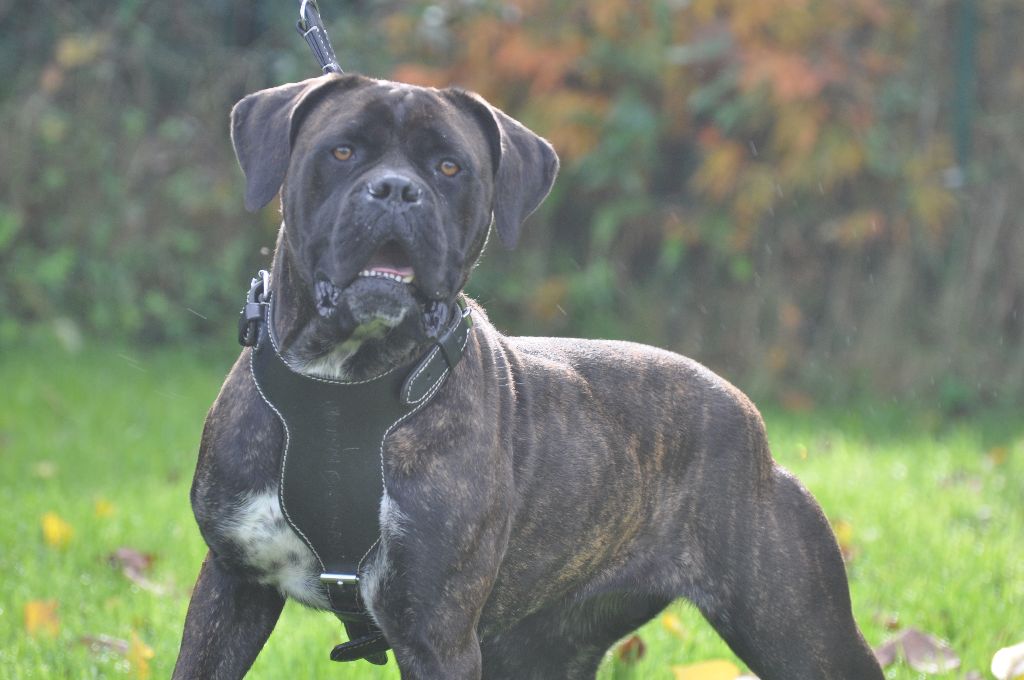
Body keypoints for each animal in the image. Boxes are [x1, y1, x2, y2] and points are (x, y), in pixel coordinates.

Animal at [172, 74, 884, 680]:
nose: (397, 190)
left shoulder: (435, 631)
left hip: (802, 634)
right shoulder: (231, 589)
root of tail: (750, 418)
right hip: (540, 646)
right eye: (342, 151)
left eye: (449, 167)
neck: (343, 387)